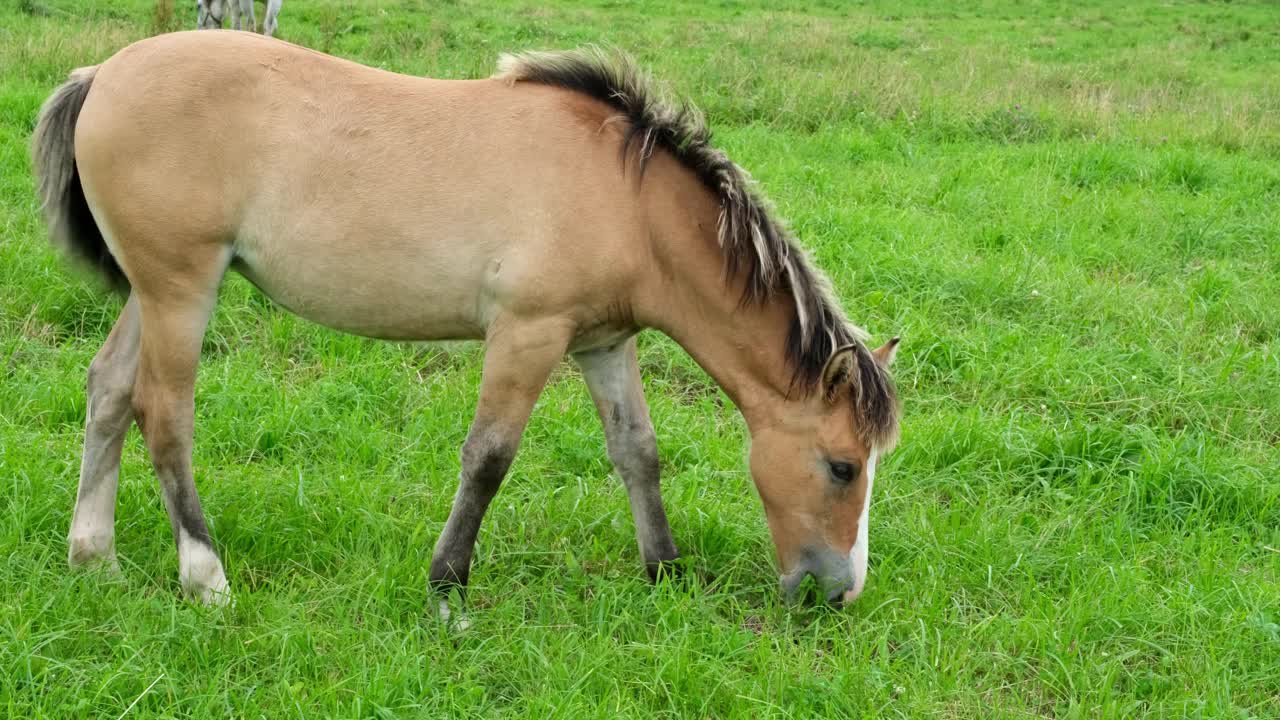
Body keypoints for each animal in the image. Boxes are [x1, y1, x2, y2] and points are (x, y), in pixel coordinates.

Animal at [35, 32, 906, 604]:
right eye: (842, 467)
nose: (836, 592)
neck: (627, 200)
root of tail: (102, 74)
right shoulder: (528, 332)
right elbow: (489, 456)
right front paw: (447, 585)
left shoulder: (603, 343)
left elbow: (638, 452)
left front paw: (664, 570)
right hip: (181, 291)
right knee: (163, 414)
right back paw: (204, 576)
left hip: (154, 292)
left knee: (108, 392)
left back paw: (93, 557)